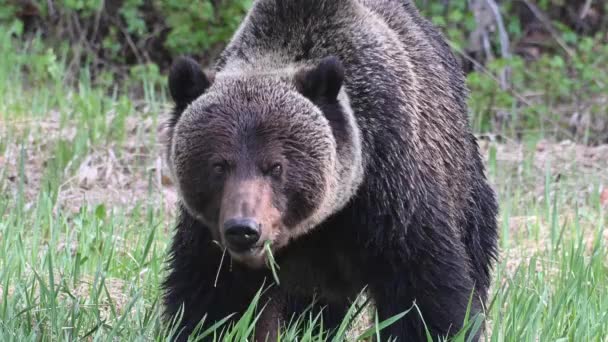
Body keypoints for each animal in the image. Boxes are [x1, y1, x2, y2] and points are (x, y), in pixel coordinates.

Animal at [162, 0, 498, 342]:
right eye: (219, 165)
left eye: (276, 166)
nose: (243, 229)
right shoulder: (211, 234)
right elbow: (214, 301)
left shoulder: (391, 195)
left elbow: (424, 291)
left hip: (463, 184)